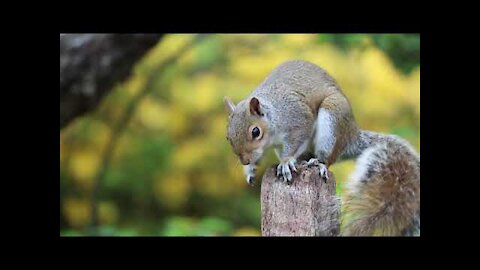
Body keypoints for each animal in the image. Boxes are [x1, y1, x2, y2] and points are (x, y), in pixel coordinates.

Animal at [223, 59, 418, 236]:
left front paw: (285, 163)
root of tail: (351, 136)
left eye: (255, 132)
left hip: (332, 121)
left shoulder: (299, 119)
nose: (244, 160)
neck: (274, 116)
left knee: (328, 157)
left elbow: (297, 140)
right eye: (228, 136)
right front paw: (250, 170)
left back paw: (318, 163)